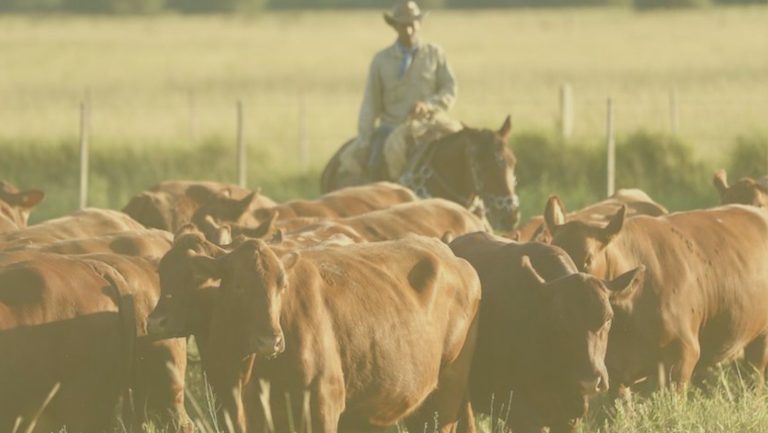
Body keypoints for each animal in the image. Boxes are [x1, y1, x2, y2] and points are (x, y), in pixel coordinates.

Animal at [150, 235, 481, 433]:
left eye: (282, 284)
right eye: (239, 286)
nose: (271, 340)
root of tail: (454, 258)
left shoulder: (323, 407)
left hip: (447, 393)